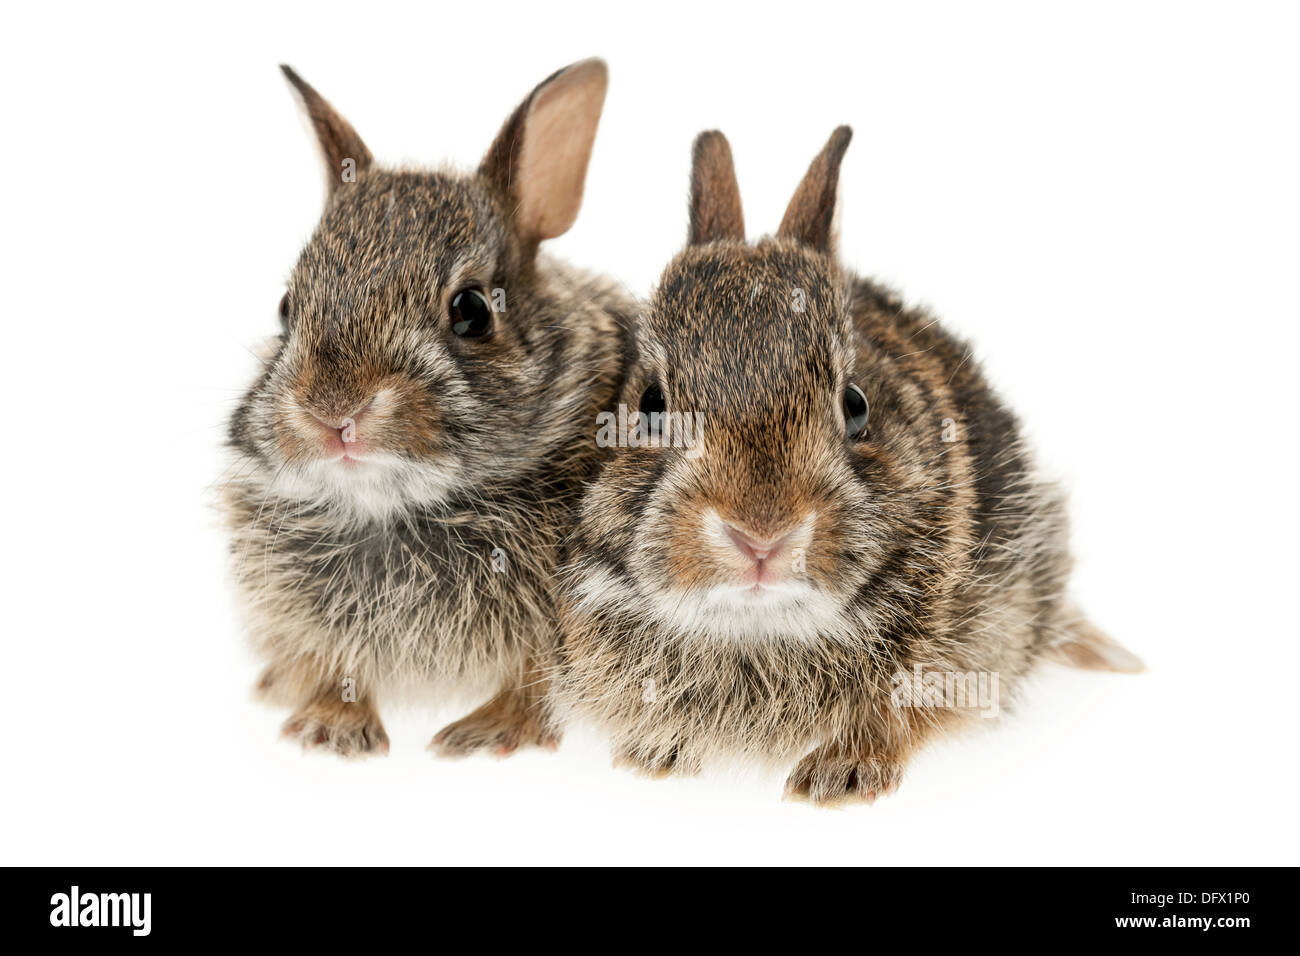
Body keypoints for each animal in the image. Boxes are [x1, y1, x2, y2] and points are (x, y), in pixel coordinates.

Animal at [221, 59, 635, 758]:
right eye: (285, 308)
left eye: (472, 311)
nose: (333, 413)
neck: (397, 506)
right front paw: (330, 730)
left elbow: (534, 680)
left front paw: (486, 734)